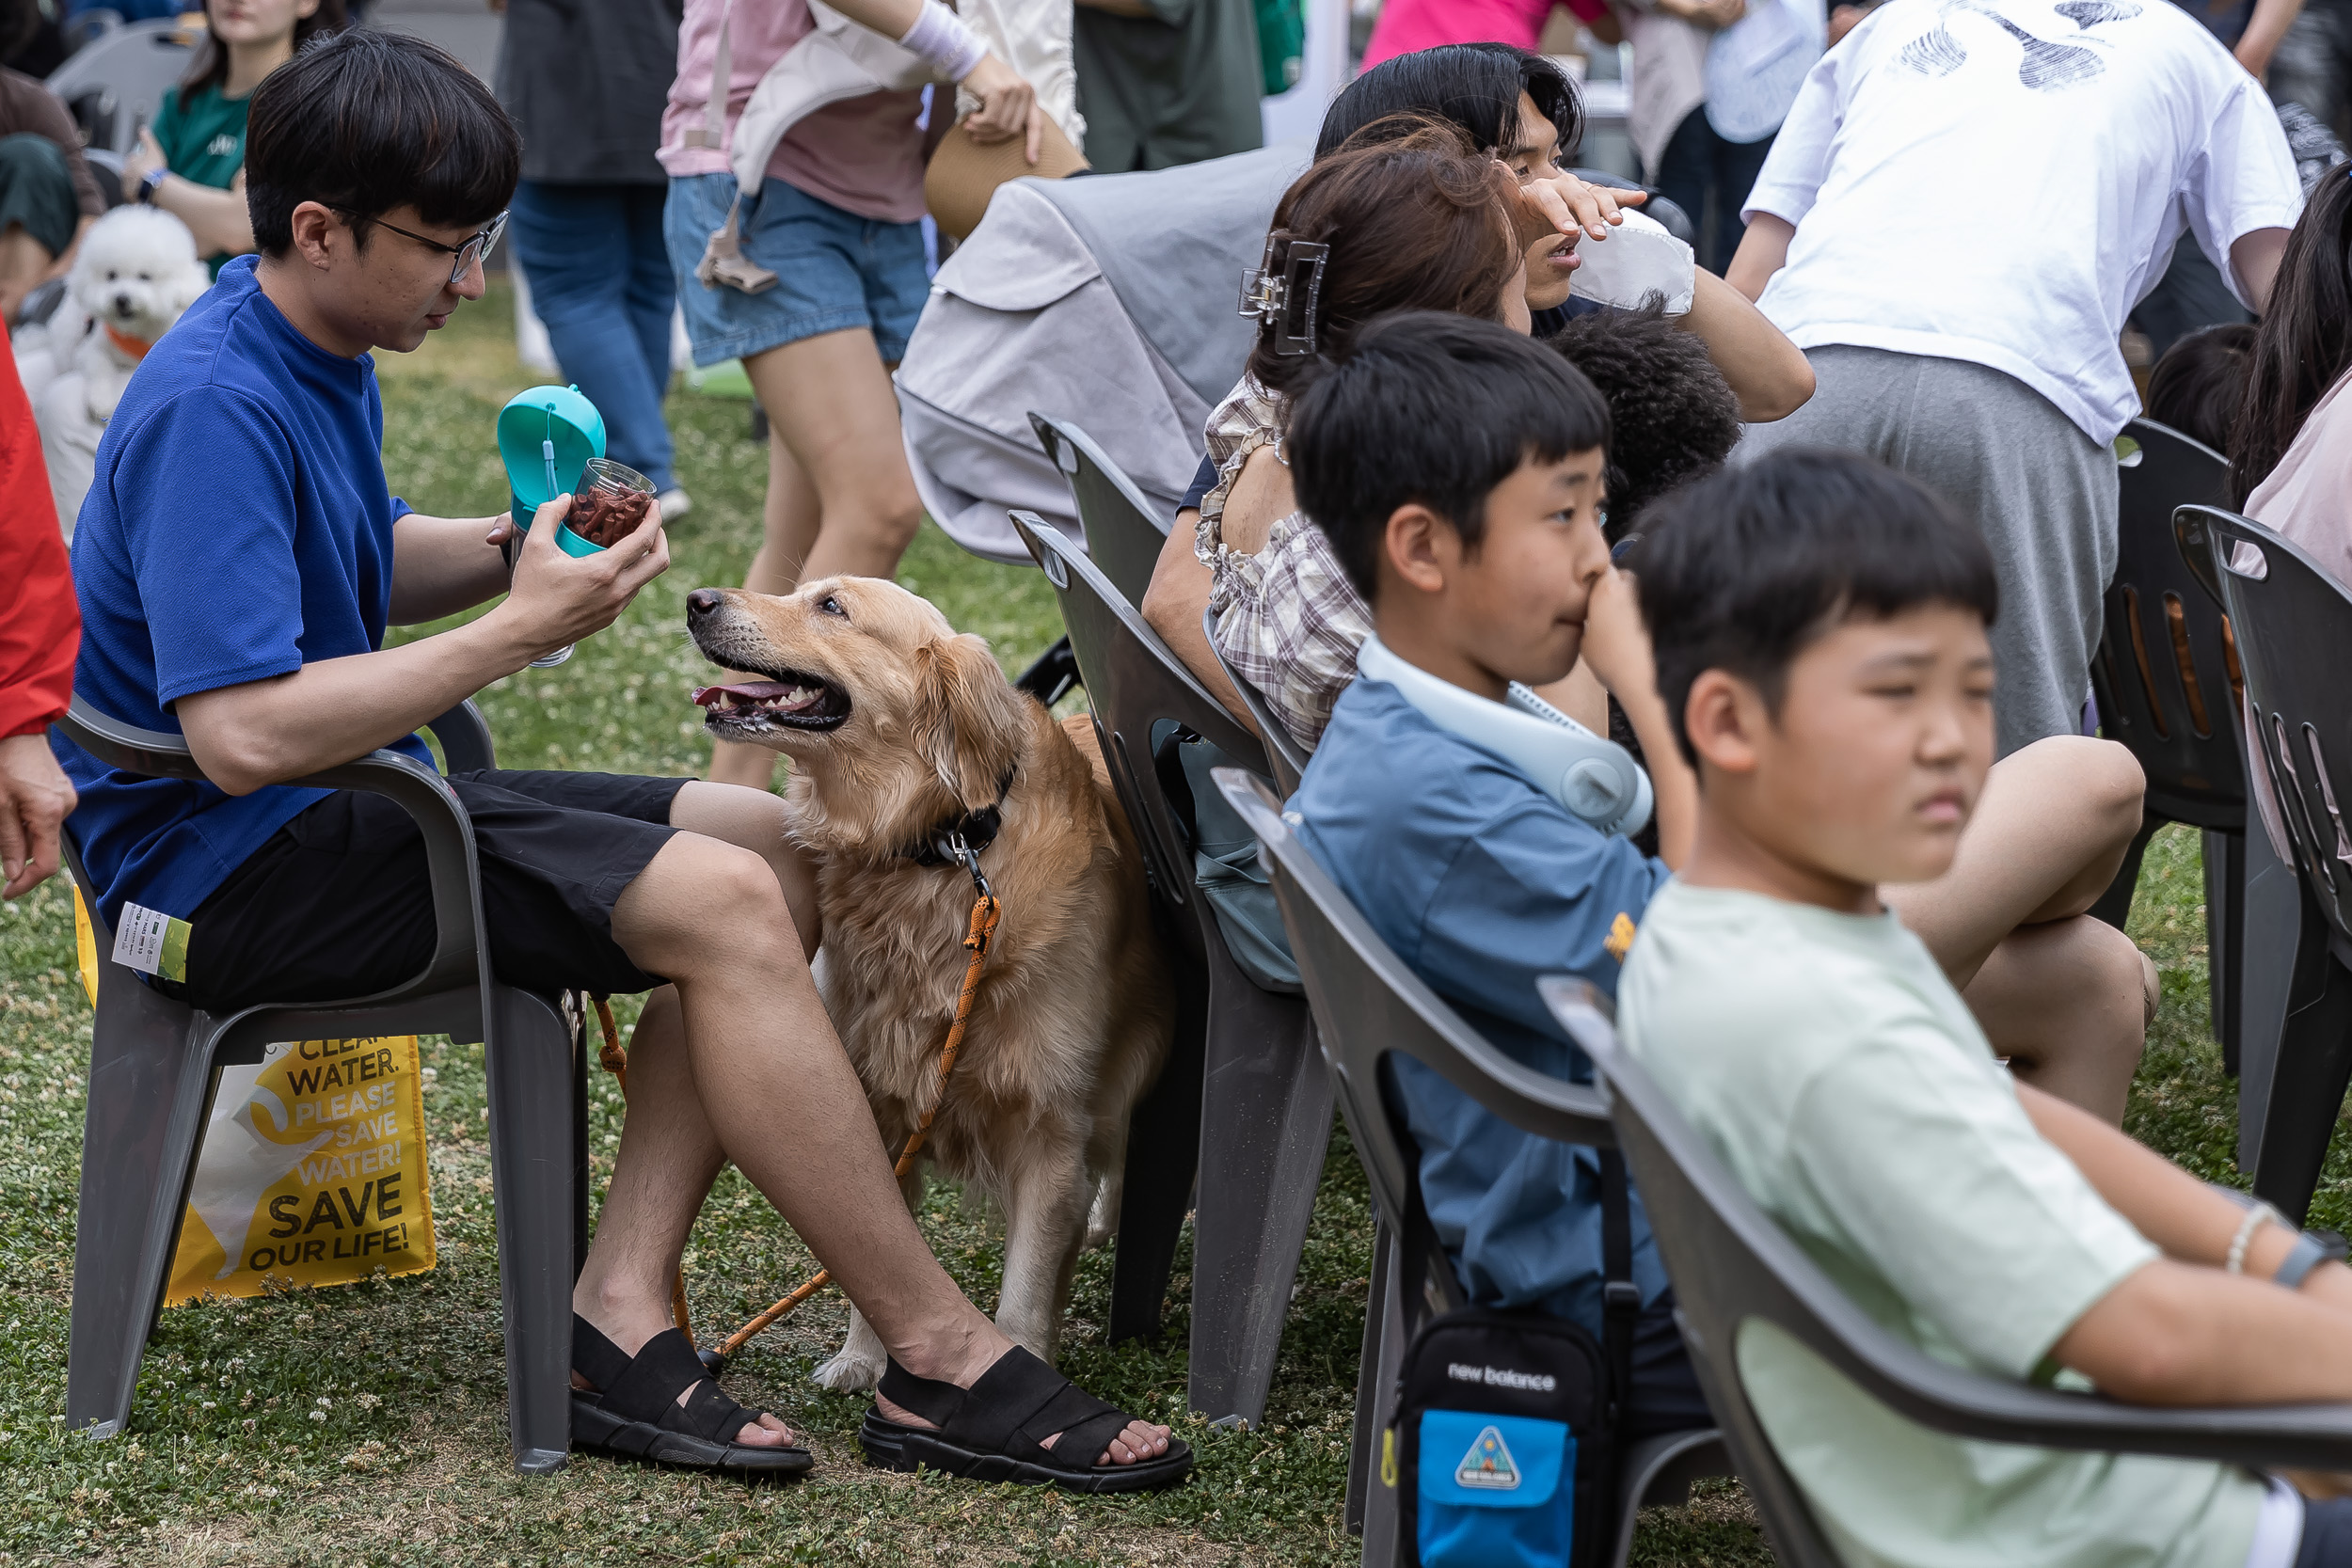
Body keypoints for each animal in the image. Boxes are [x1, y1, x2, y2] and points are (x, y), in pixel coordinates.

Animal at [16, 205, 210, 535]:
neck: (138, 335)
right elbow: (98, 366)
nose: (121, 299)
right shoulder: (93, 347)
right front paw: (101, 402)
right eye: (111, 275)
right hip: (67, 338)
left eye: (145, 277)